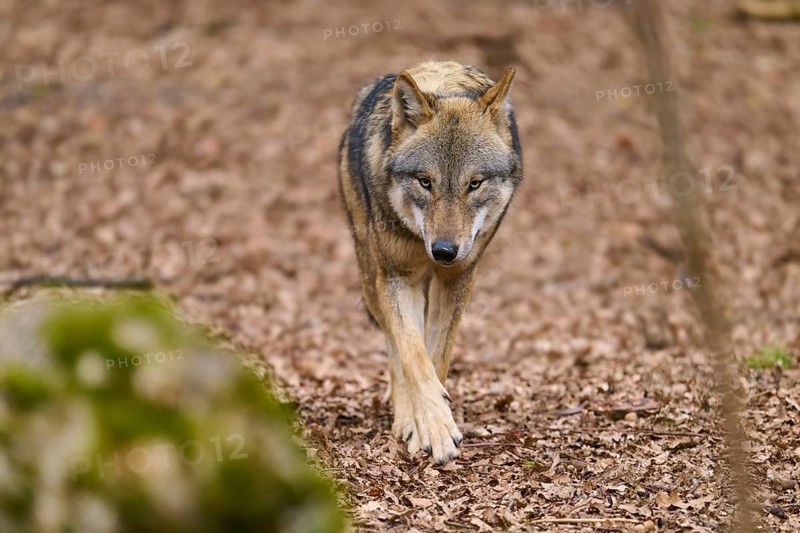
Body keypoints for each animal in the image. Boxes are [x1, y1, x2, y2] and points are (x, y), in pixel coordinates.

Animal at [338, 61, 522, 464]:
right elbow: (413, 356)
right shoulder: (397, 277)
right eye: (425, 182)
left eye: (474, 183)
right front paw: (431, 427)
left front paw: (435, 423)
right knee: (394, 345)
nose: (444, 251)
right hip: (371, 278)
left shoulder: (458, 278)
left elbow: (437, 357)